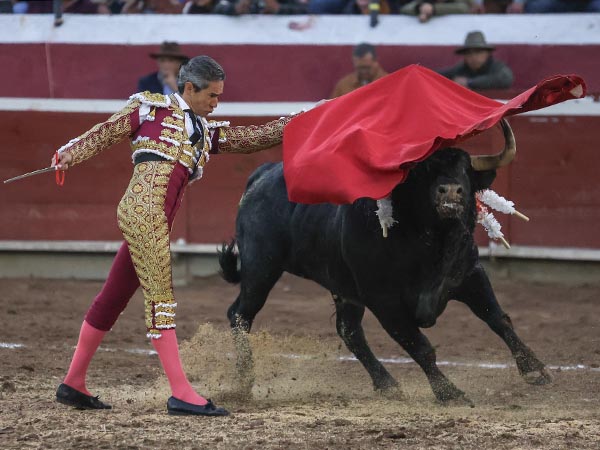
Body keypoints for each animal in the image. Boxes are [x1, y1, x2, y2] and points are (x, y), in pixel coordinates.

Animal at [218, 118, 552, 400]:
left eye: (465, 172)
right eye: (422, 172)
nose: (450, 192)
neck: (432, 242)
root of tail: (261, 174)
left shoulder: (469, 275)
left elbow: (498, 318)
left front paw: (535, 370)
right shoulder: (384, 300)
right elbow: (420, 346)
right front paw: (449, 393)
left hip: (341, 287)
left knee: (348, 331)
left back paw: (387, 384)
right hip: (261, 268)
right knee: (240, 315)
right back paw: (245, 381)